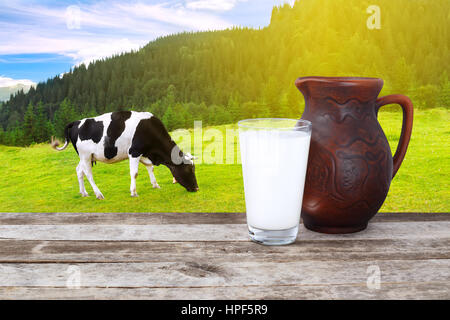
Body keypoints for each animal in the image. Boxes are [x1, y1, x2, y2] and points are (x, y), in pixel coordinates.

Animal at [50, 111, 198, 199]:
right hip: (85, 155)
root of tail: (77, 122)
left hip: (85, 157)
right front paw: (134, 192)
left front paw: (155, 184)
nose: (196, 188)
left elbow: (150, 167)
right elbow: (135, 173)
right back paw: (98, 194)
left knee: (79, 170)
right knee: (88, 173)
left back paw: (84, 193)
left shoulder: (143, 153)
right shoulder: (134, 151)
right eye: (189, 169)